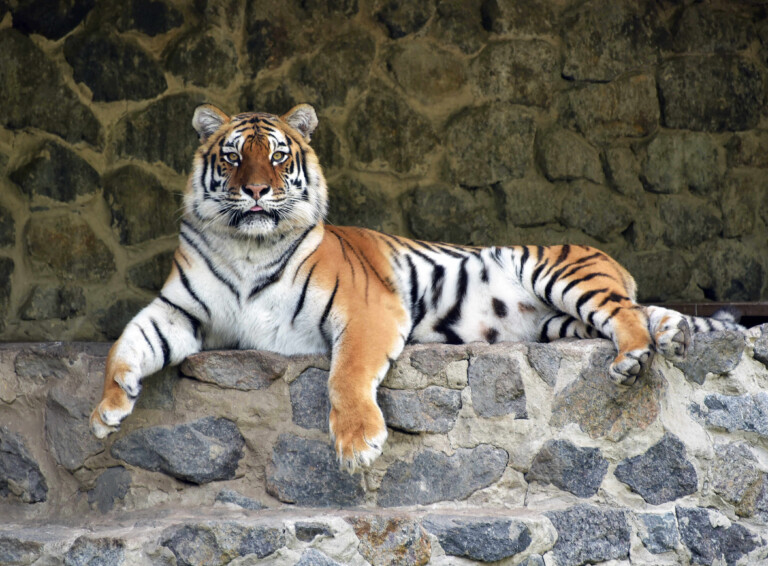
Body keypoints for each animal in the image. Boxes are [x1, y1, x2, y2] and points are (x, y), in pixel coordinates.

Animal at [90, 103, 744, 472]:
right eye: (231, 157)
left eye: (275, 157)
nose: (254, 190)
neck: (247, 246)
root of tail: (606, 254)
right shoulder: (180, 310)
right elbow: (126, 342)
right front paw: (107, 408)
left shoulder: (367, 308)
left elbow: (346, 374)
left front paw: (358, 445)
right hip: (559, 318)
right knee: (638, 309)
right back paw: (673, 332)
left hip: (560, 273)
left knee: (623, 313)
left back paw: (634, 356)